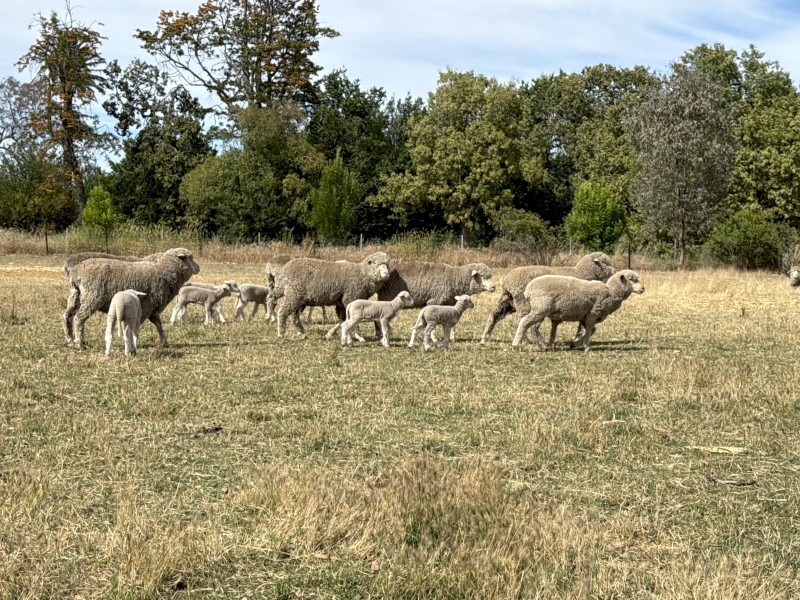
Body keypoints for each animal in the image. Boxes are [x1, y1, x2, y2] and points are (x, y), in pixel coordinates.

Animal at [63, 248, 200, 349]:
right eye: (190, 258)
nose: (199, 268)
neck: (163, 271)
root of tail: (75, 272)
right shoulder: (147, 305)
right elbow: (139, 325)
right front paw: (133, 342)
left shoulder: (152, 308)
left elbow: (159, 324)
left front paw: (164, 342)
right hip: (92, 297)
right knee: (78, 319)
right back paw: (79, 344)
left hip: (76, 296)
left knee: (67, 317)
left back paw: (71, 341)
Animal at [480, 251, 615, 344]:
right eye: (606, 263)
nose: (614, 271)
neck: (582, 271)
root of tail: (508, 281)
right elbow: (581, 324)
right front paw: (578, 337)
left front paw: (578, 338)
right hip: (524, 302)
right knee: (520, 321)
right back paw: (527, 341)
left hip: (508, 301)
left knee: (494, 316)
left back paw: (484, 338)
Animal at [511, 269, 644, 351]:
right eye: (632, 279)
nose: (643, 288)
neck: (610, 291)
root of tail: (528, 290)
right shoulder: (593, 313)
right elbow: (590, 329)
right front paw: (586, 346)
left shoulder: (585, 315)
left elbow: (591, 330)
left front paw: (575, 343)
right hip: (541, 308)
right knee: (525, 322)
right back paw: (516, 343)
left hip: (540, 309)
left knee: (532, 326)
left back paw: (543, 345)